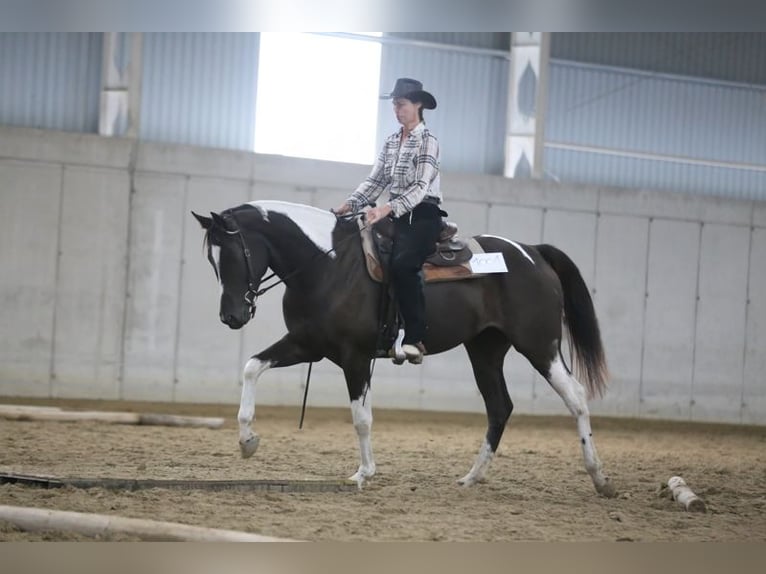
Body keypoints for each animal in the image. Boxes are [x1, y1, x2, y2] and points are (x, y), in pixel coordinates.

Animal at [192, 200, 616, 498]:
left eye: (233, 255)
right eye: (211, 260)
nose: (232, 316)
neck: (328, 265)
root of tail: (533, 252)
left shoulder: (355, 356)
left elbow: (361, 418)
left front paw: (363, 473)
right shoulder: (306, 345)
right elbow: (251, 366)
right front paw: (247, 442)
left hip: (540, 345)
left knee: (576, 397)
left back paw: (600, 478)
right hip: (485, 349)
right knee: (500, 407)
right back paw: (471, 478)